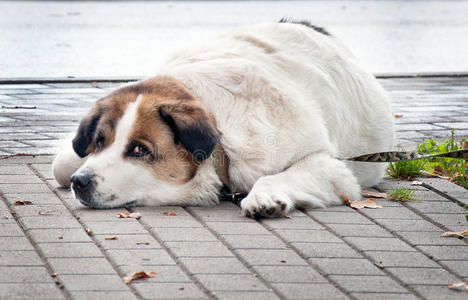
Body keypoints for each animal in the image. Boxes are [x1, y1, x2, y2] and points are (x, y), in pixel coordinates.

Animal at [52, 20, 394, 218]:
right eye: (99, 142)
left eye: (139, 150)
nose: (80, 182)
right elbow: (61, 164)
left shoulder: (329, 165)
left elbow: (277, 175)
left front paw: (264, 196)